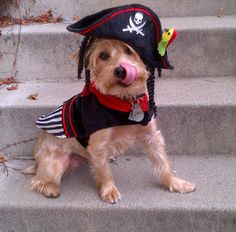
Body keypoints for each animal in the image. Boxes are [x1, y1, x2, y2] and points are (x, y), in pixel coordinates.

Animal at [24, 38, 195, 203]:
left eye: (129, 50)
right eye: (103, 56)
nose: (121, 70)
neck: (124, 100)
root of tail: (38, 159)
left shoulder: (151, 135)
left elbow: (163, 162)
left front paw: (175, 182)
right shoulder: (98, 144)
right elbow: (104, 171)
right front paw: (109, 190)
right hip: (57, 160)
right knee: (37, 180)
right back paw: (50, 187)